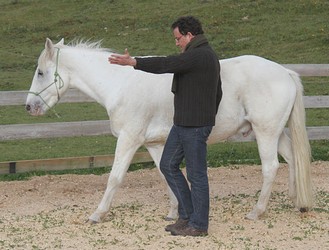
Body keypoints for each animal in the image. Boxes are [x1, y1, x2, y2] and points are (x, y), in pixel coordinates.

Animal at [25, 38, 310, 223]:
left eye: (40, 72)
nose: (29, 106)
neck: (121, 84)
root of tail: (285, 72)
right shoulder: (154, 143)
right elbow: (166, 175)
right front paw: (174, 212)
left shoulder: (129, 140)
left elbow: (115, 178)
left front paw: (97, 214)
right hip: (276, 133)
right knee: (291, 159)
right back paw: (296, 201)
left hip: (265, 133)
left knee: (271, 167)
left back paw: (256, 212)